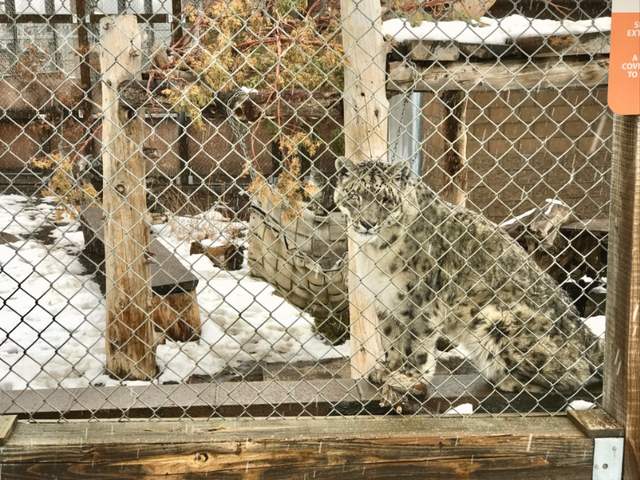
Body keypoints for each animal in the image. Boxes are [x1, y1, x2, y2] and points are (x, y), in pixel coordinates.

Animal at [333, 158, 603, 412]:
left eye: (385, 199)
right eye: (355, 196)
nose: (368, 223)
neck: (375, 251)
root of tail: (587, 336)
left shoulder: (421, 300)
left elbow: (417, 344)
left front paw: (408, 378)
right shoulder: (386, 301)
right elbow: (391, 339)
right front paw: (387, 370)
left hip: (496, 319)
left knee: (571, 379)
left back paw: (505, 379)